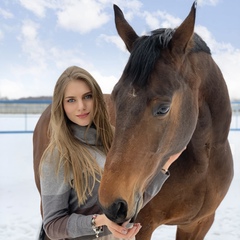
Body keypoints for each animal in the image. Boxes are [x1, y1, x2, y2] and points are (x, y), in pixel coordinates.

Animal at [97, 2, 232, 240]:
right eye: (115, 97)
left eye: (163, 108)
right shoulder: (143, 226)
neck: (204, 163)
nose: (111, 206)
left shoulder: (199, 223)